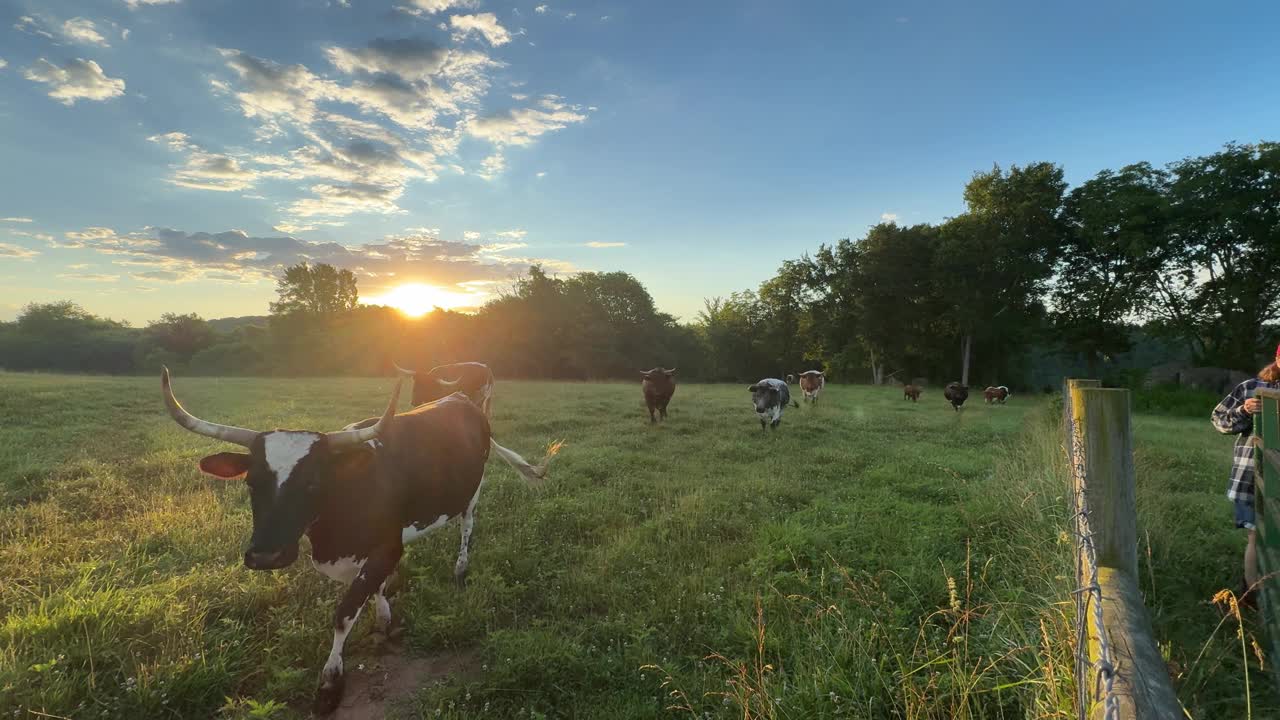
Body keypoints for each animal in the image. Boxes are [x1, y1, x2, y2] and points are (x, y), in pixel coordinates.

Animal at [158, 366, 555, 712]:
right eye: (251, 482)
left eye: (313, 483)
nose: (266, 556)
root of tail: (460, 398)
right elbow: (373, 590)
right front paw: (383, 619)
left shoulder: (388, 546)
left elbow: (344, 614)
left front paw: (330, 683)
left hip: (472, 491)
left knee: (467, 526)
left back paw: (460, 570)